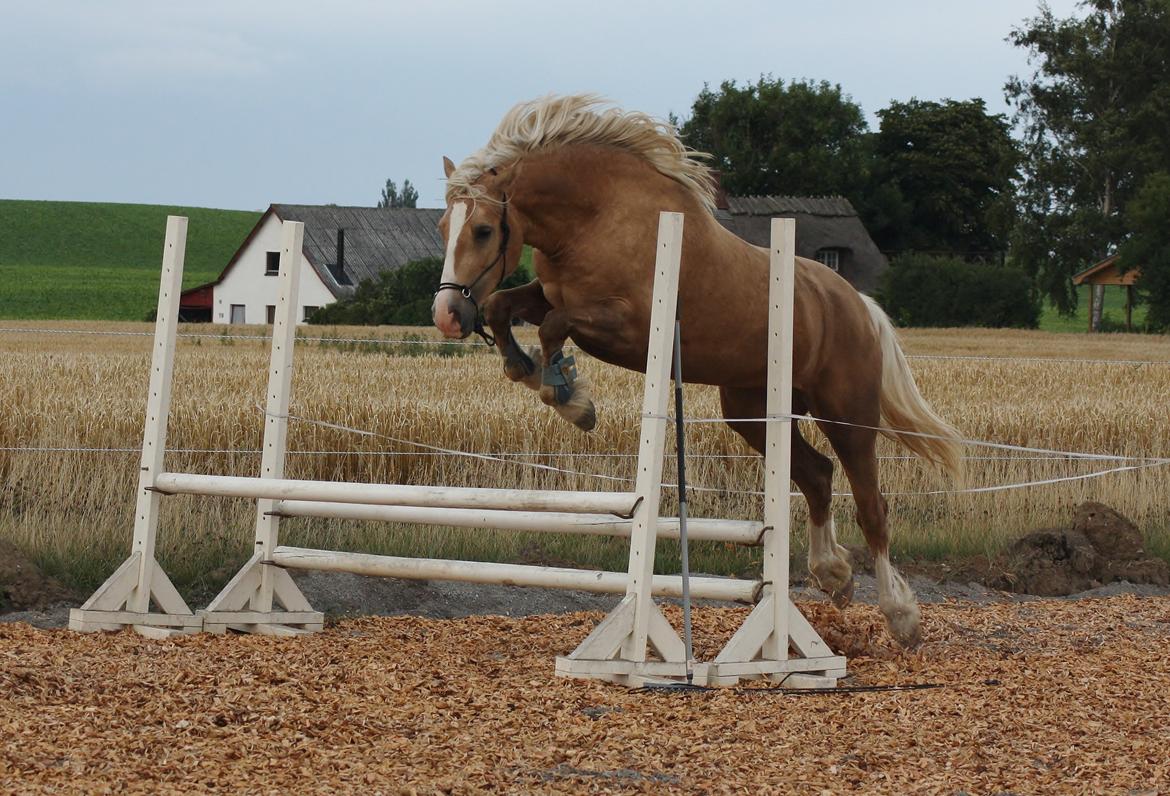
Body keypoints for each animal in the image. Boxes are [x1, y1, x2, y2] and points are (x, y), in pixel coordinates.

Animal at [430, 94, 959, 646]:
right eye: (444, 229)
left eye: (483, 230)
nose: (447, 316)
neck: (595, 217)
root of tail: (857, 303)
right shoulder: (550, 294)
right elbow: (504, 307)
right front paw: (527, 370)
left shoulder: (629, 325)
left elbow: (556, 326)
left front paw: (571, 399)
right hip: (751, 410)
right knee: (816, 475)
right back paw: (832, 574)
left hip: (846, 413)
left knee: (870, 503)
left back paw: (900, 615)